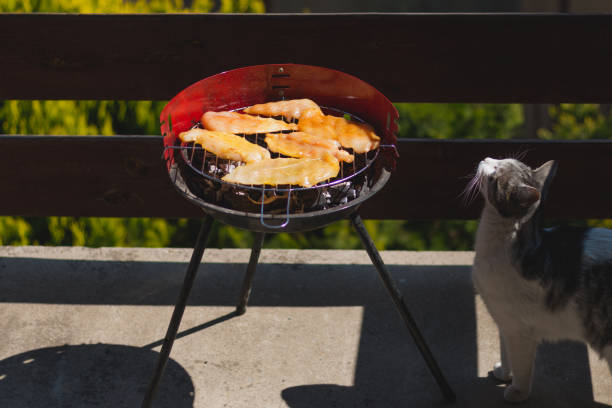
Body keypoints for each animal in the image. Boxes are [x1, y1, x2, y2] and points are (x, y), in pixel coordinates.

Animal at [468, 158, 612, 404]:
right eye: (499, 159)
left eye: (496, 171)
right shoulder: (504, 321)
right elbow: (506, 353)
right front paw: (503, 373)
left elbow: (521, 366)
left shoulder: (519, 330)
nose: (486, 159)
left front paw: (517, 392)